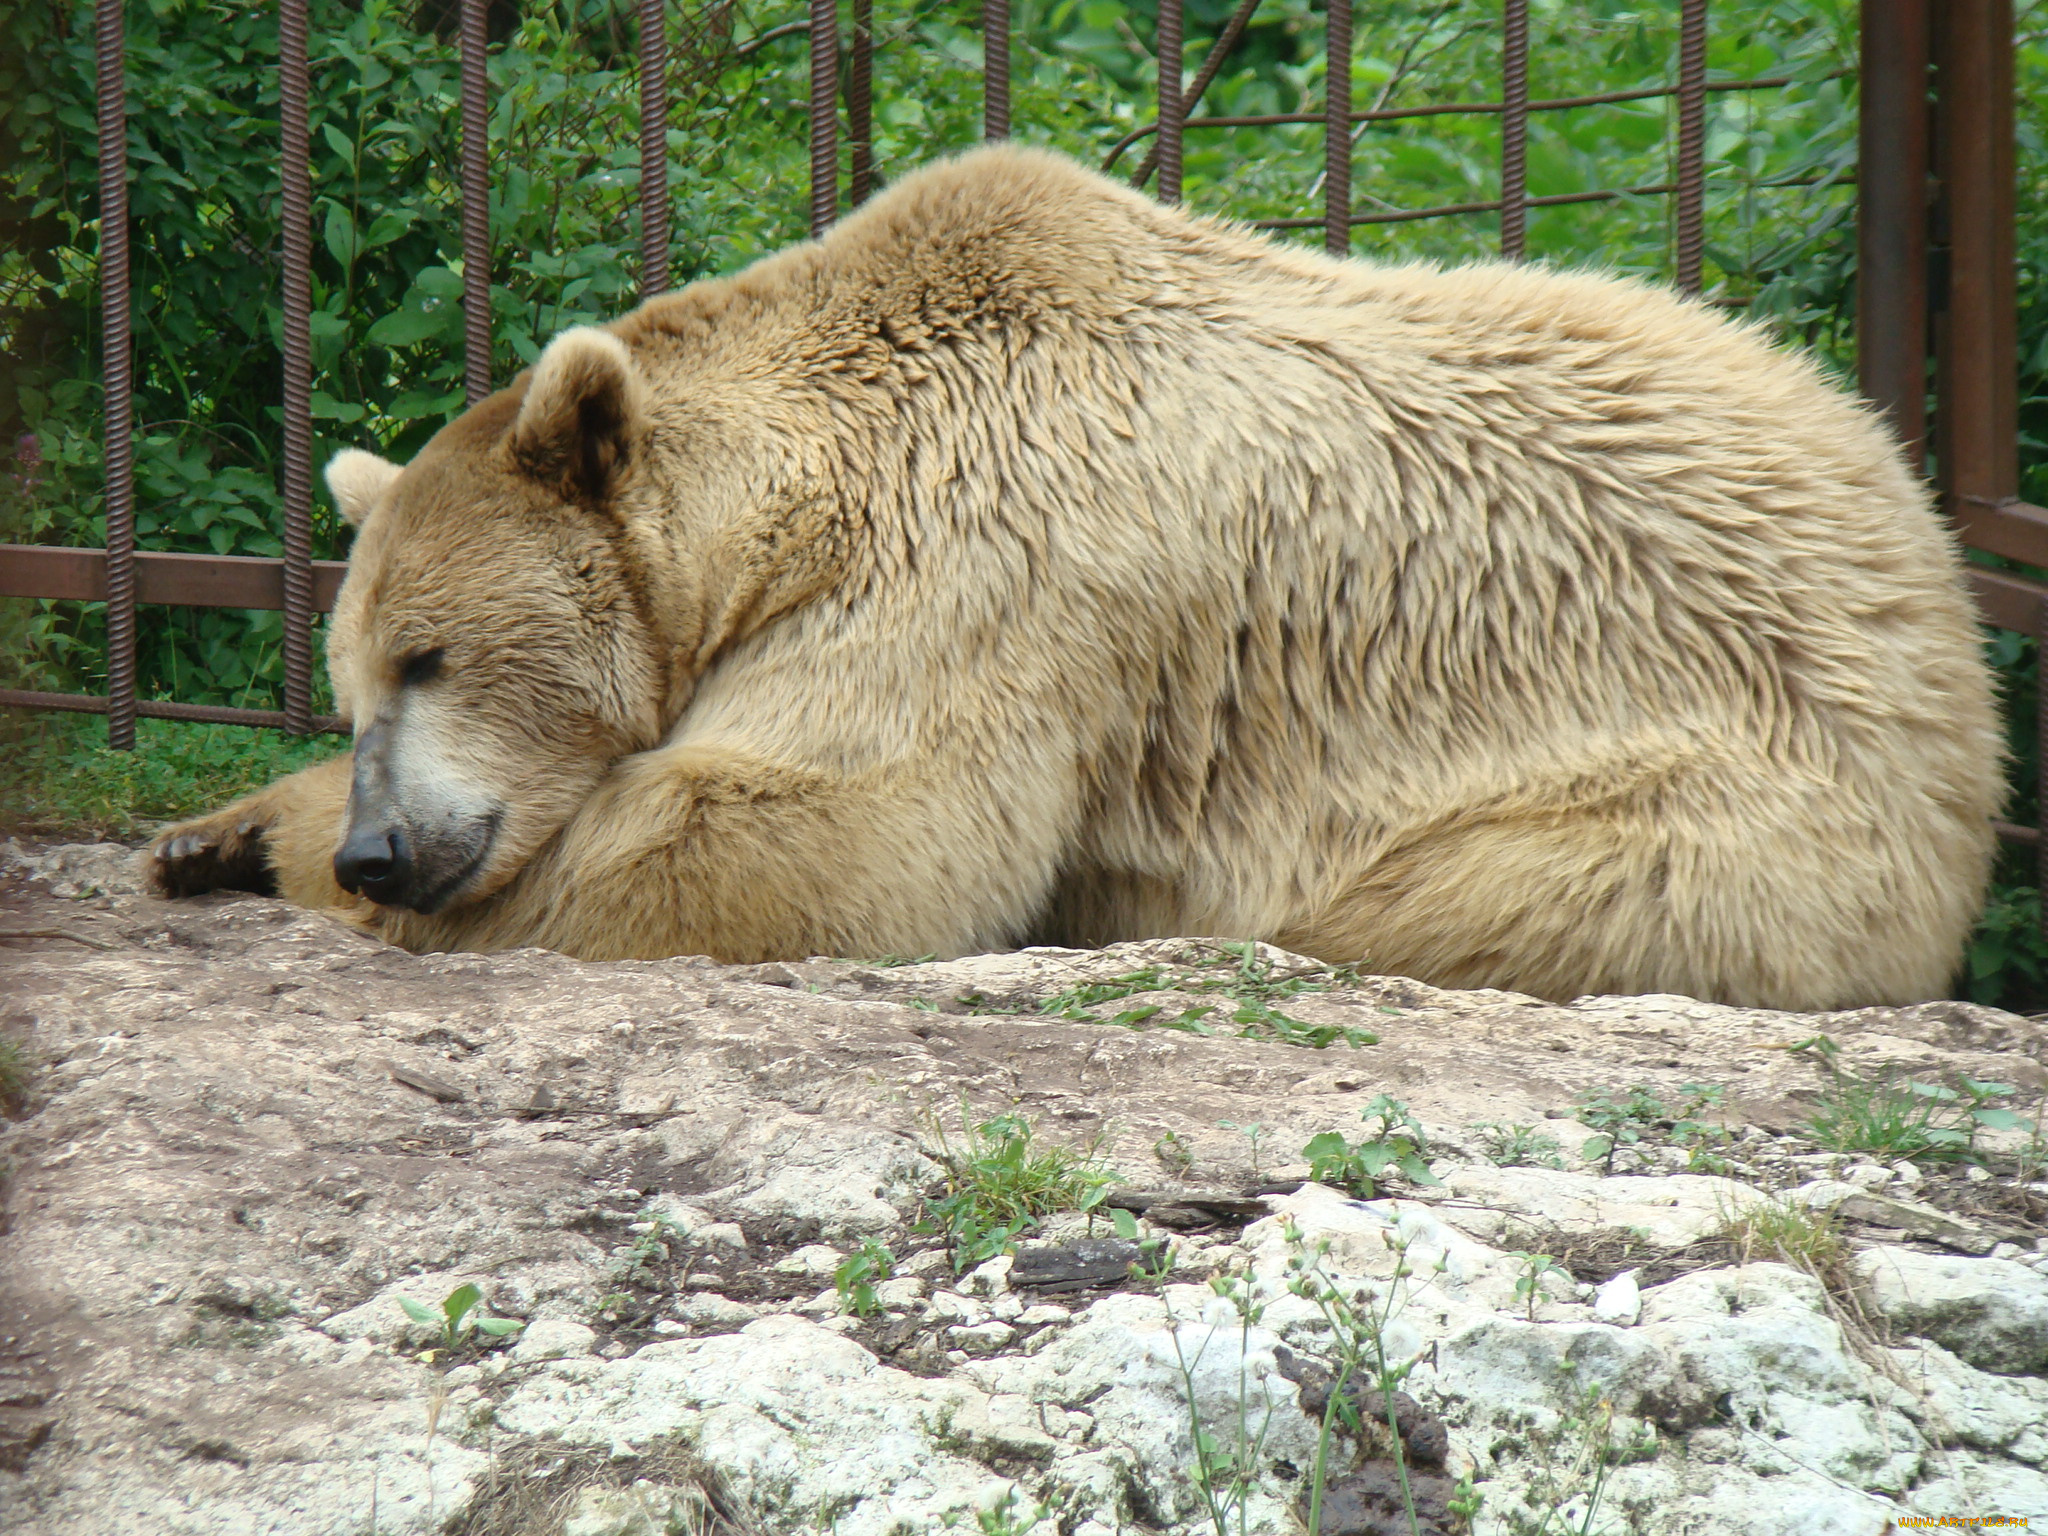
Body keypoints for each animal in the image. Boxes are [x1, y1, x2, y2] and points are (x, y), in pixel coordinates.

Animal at [148, 141, 1998, 1011]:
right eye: (353, 673)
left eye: (432, 656)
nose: (384, 849)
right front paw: (211, 831)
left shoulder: (981, 564)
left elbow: (794, 830)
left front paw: (282, 855)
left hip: (1712, 797)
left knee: (1439, 893)